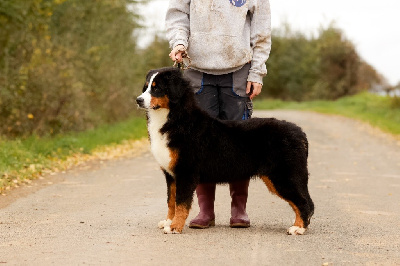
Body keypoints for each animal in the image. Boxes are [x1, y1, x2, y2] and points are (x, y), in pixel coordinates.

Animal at [136, 67, 314, 236]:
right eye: (146, 87)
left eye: (157, 88)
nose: (138, 100)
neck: (176, 119)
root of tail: (300, 132)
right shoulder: (171, 175)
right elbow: (171, 201)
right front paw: (167, 221)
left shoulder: (185, 172)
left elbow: (181, 202)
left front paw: (174, 227)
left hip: (284, 176)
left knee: (305, 203)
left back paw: (298, 228)